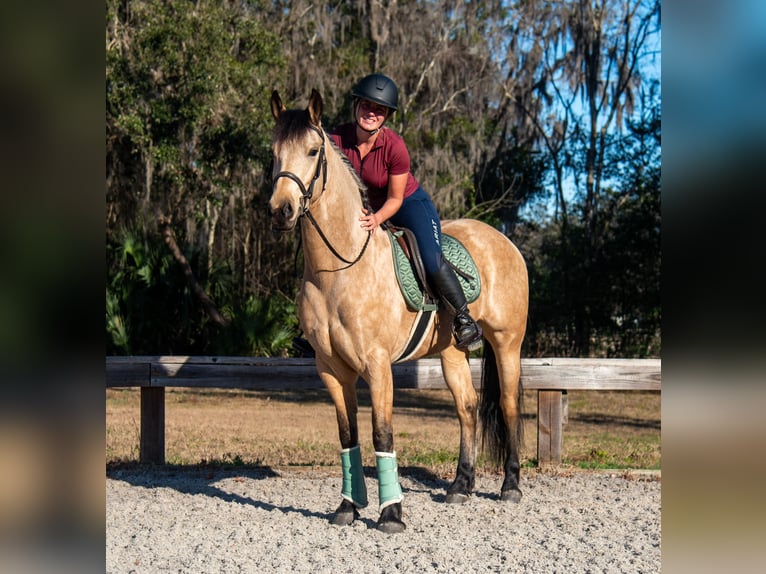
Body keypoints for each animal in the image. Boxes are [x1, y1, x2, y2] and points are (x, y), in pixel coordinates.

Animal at [268, 89, 529, 533]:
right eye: (273, 152)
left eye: (313, 150)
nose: (281, 210)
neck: (337, 271)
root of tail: (504, 240)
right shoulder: (331, 369)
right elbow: (348, 436)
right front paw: (347, 508)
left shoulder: (377, 366)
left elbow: (382, 434)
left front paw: (391, 514)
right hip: (451, 352)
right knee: (467, 407)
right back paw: (461, 486)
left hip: (507, 343)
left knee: (509, 405)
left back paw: (510, 485)